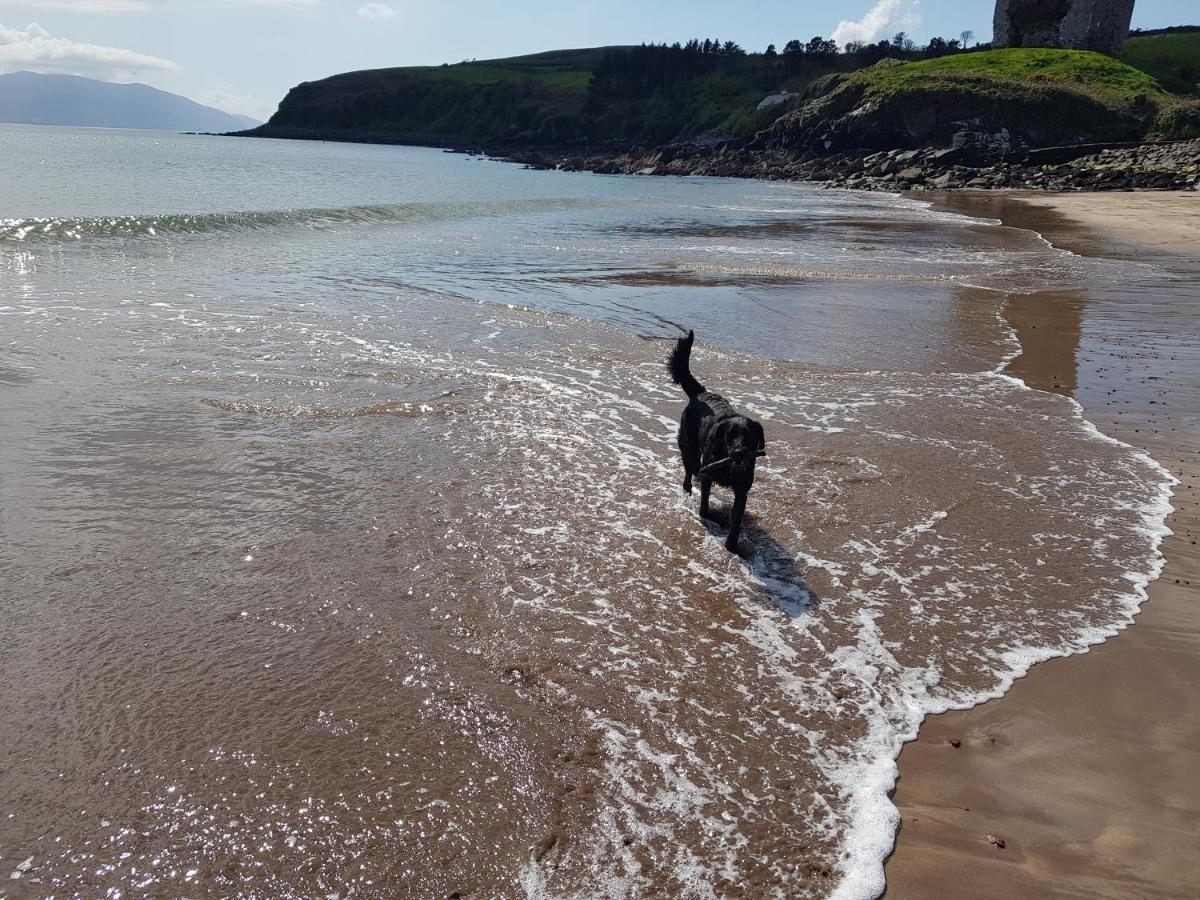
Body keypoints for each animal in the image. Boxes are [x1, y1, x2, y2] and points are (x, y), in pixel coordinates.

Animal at [672, 333, 763, 549]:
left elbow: (737, 519)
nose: (738, 453)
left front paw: (731, 546)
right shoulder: (708, 476)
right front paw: (706, 517)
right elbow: (705, 503)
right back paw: (688, 487)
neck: (728, 468)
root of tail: (700, 393)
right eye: (730, 434)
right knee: (689, 469)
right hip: (688, 443)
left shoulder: (742, 490)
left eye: (749, 436)